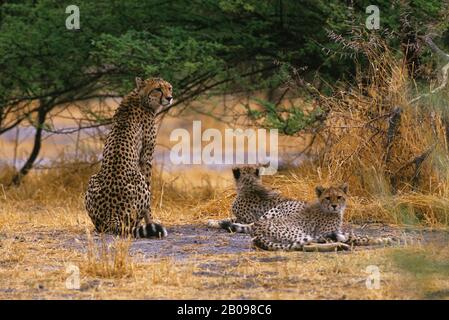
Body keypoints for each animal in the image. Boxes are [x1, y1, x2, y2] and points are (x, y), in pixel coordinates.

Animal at [85, 77, 172, 238]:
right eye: (158, 89)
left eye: (169, 88)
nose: (170, 98)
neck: (140, 98)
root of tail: (111, 217)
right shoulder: (146, 158)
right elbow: (149, 198)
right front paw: (151, 221)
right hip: (138, 179)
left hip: (92, 179)